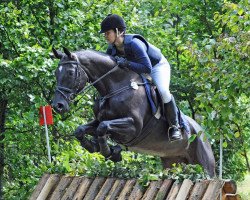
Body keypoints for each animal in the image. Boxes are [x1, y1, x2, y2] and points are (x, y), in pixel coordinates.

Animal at [51, 46, 216, 177]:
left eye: (70, 73)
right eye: (56, 73)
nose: (57, 105)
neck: (115, 86)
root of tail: (203, 133)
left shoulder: (133, 127)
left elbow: (103, 127)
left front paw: (108, 151)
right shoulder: (99, 120)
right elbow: (82, 129)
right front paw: (96, 147)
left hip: (204, 165)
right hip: (173, 162)